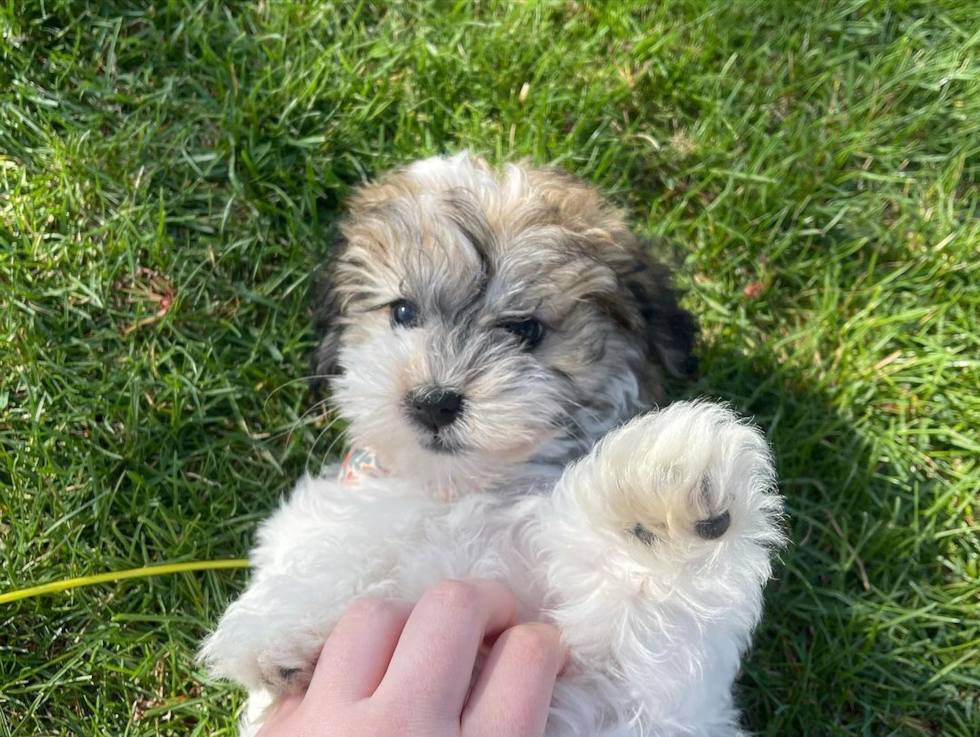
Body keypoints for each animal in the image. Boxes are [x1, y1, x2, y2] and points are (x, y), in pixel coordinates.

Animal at [203, 152, 784, 732]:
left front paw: (660, 507)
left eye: (525, 329)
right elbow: (336, 538)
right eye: (403, 312)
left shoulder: (651, 698)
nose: (433, 401)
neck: (463, 492)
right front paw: (279, 623)